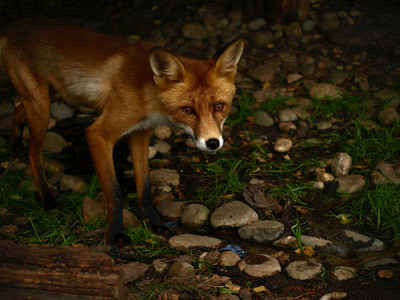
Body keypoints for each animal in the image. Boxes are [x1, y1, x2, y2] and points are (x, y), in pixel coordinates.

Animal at [0, 18, 244, 244]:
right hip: (42, 108)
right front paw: (116, 233)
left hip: (47, 97)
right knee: (33, 155)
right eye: (187, 110)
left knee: (17, 110)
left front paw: (154, 222)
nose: (212, 143)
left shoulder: (140, 134)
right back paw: (47, 198)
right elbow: (115, 192)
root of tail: (15, 27)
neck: (148, 96)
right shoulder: (99, 135)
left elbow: (144, 187)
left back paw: (14, 145)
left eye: (219, 107)